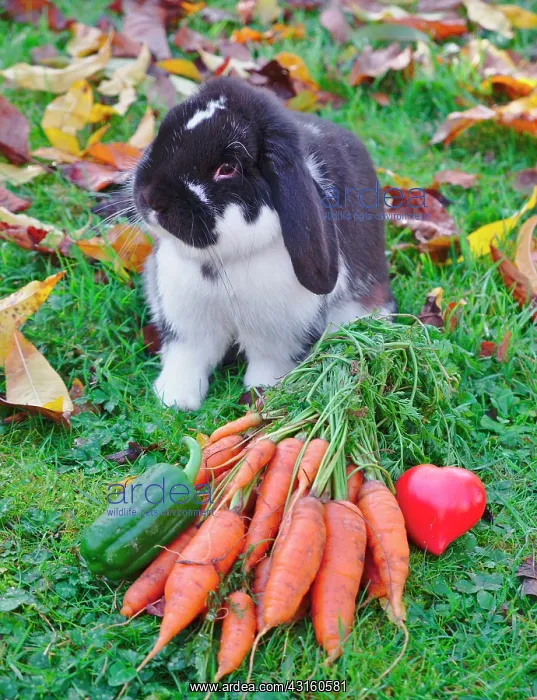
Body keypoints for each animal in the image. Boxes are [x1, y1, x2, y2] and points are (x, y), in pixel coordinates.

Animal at [133, 76, 395, 410]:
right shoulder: (187, 323)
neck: (222, 260)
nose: (151, 197)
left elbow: (267, 363)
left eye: (227, 169)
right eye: (163, 132)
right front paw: (174, 400)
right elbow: (188, 358)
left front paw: (262, 394)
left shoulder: (279, 334)